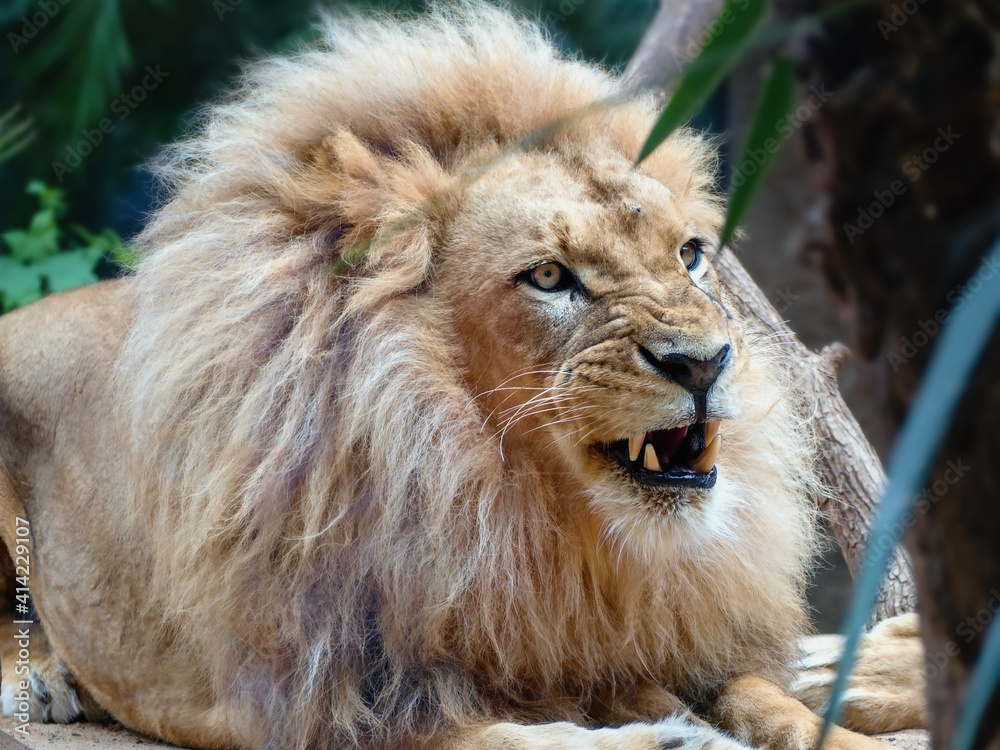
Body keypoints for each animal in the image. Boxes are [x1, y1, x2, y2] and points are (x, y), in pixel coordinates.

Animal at [0, 5, 924, 750]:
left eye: (691, 256)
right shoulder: (333, 701)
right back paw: (43, 678)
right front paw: (667, 736)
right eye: (549, 277)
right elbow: (523, 738)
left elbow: (774, 702)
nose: (701, 362)